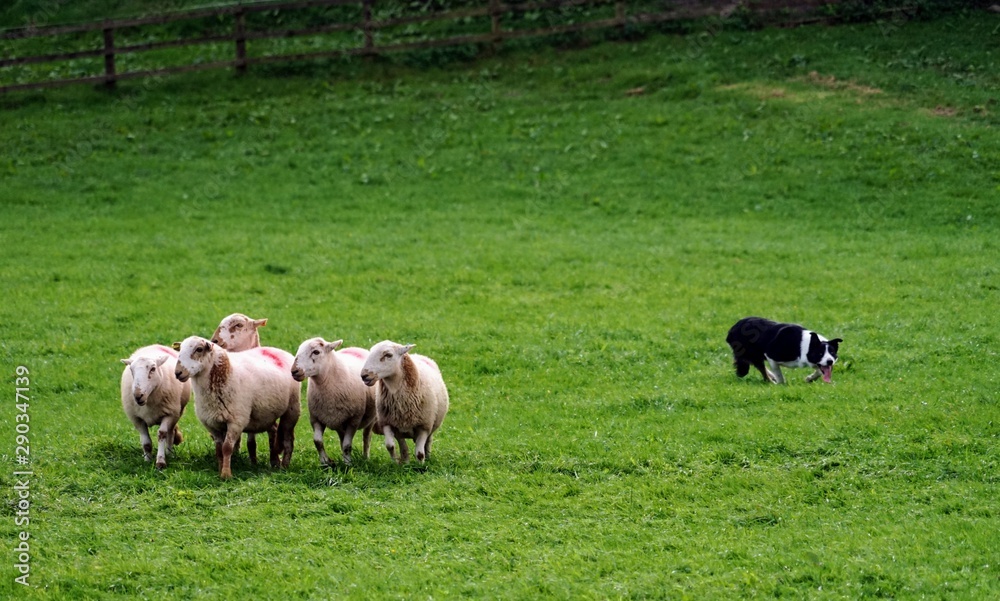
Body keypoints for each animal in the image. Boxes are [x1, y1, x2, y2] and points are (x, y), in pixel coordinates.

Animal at [173, 336, 300, 479]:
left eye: (199, 349)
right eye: (180, 349)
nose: (178, 372)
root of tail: (277, 350)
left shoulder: (236, 421)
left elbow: (227, 448)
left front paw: (226, 474)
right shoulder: (212, 424)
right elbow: (219, 450)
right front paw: (219, 470)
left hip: (292, 409)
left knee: (288, 438)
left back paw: (284, 466)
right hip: (266, 413)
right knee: (273, 430)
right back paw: (273, 462)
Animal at [291, 338, 377, 467]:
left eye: (316, 352)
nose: (294, 371)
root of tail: (356, 348)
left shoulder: (354, 420)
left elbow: (347, 445)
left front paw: (347, 464)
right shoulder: (316, 418)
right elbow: (318, 441)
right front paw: (325, 462)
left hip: (370, 419)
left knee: (366, 437)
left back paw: (365, 457)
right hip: (339, 421)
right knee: (342, 438)